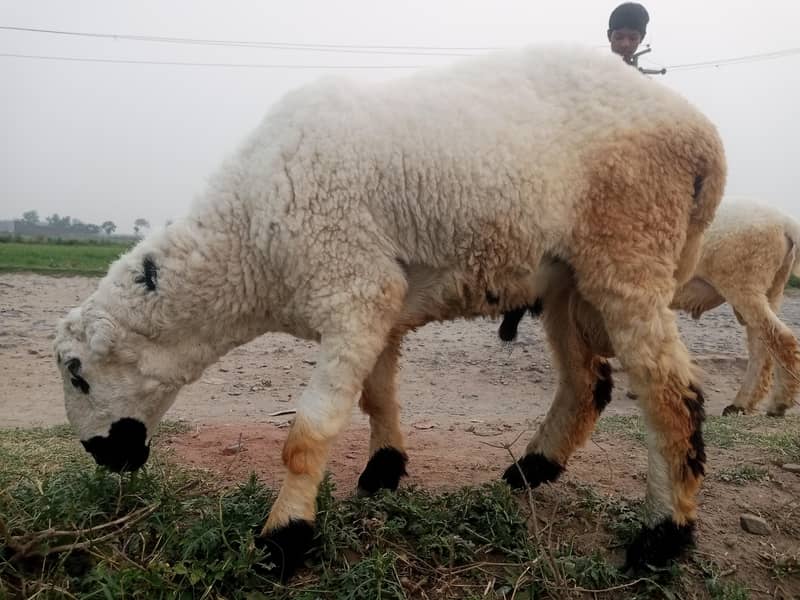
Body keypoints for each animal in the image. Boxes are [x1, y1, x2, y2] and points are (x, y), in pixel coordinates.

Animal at [53, 44, 726, 580]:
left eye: (78, 375)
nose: (104, 456)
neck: (248, 241)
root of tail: (704, 138)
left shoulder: (354, 286)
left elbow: (308, 432)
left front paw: (283, 540)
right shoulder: (376, 301)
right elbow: (376, 395)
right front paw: (384, 470)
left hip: (630, 245)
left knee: (671, 394)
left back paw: (662, 538)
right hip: (566, 279)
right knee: (587, 383)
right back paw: (532, 469)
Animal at [501, 201, 800, 417]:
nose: (505, 333)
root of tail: (786, 223)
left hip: (744, 284)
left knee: (780, 339)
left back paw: (777, 404)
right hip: (770, 289)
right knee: (763, 346)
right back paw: (745, 404)